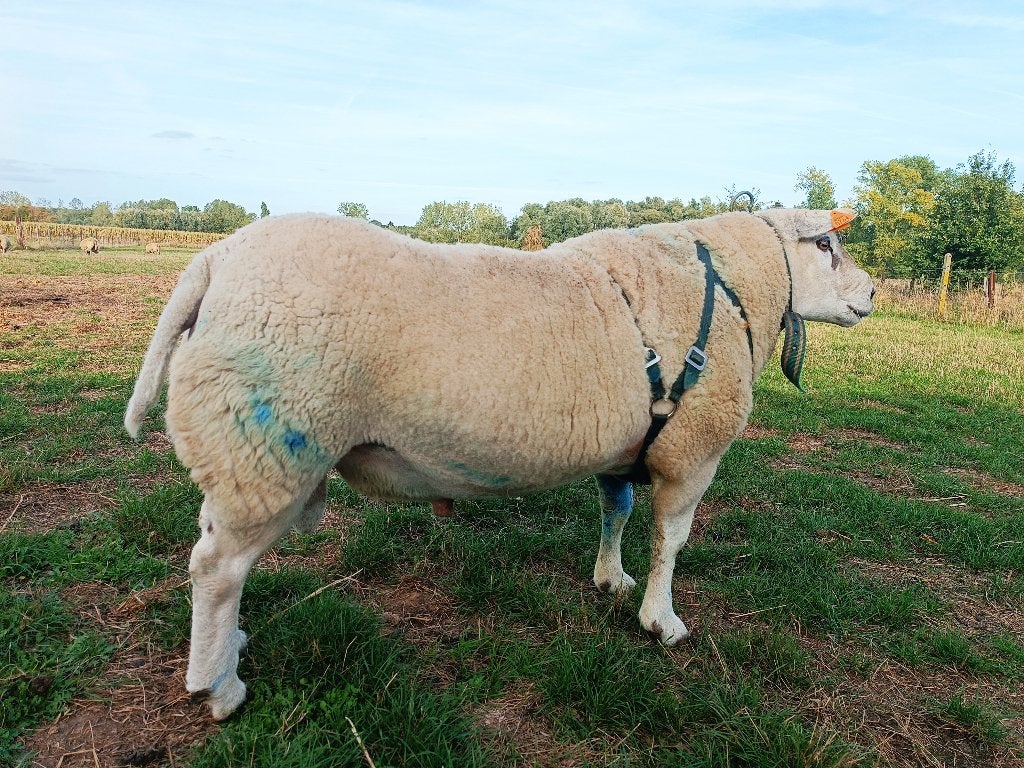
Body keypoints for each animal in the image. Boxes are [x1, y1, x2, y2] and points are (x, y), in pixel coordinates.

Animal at [125, 208, 874, 720]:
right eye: (828, 246)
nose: (871, 295)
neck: (735, 283)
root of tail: (215, 259)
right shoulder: (692, 450)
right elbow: (672, 540)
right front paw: (661, 620)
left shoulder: (626, 449)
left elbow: (616, 513)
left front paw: (611, 579)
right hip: (266, 449)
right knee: (217, 572)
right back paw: (219, 687)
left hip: (245, 455)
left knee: (218, 561)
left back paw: (230, 646)